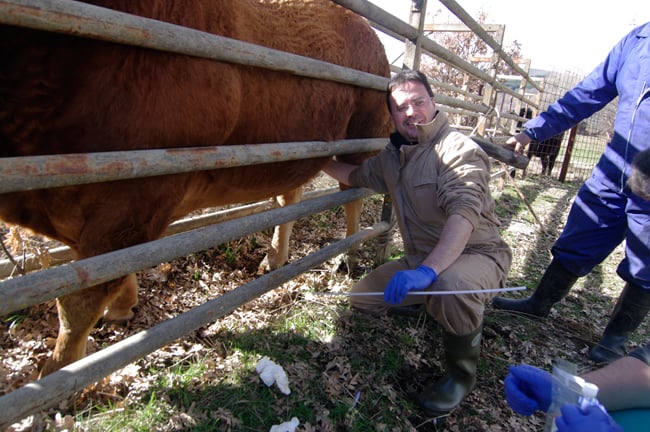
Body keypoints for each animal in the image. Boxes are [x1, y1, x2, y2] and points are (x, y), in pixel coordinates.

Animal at [0, 0, 390, 374]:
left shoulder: (133, 202)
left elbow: (80, 301)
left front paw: (58, 373)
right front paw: (123, 308)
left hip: (363, 135)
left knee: (352, 195)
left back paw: (349, 256)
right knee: (289, 195)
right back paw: (274, 259)